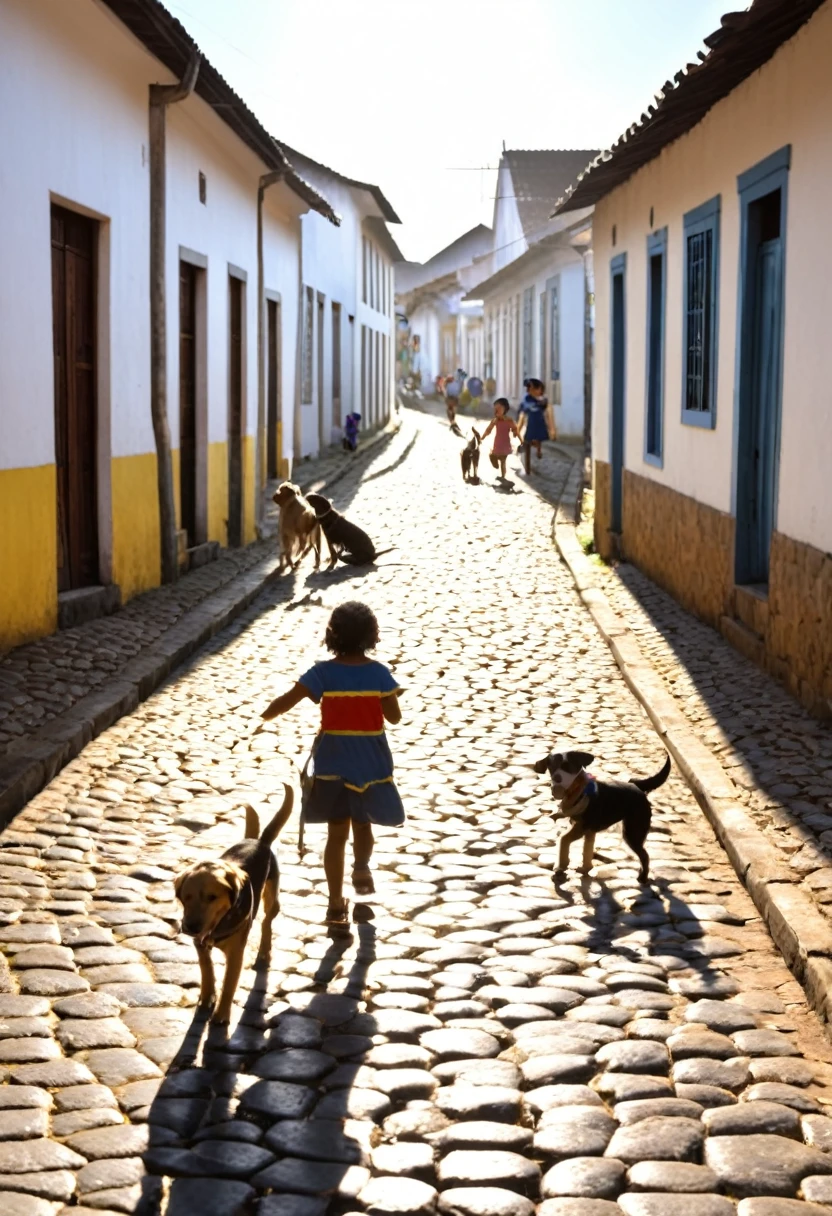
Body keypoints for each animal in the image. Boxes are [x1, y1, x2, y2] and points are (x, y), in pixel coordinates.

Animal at [173, 783, 294, 1021]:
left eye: (212, 897)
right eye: (186, 897)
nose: (190, 927)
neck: (218, 924)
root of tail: (259, 840)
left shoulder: (236, 953)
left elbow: (229, 983)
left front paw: (221, 1015)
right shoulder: (201, 947)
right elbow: (207, 973)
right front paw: (206, 999)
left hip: (272, 900)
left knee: (266, 923)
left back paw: (264, 953)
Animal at [532, 744, 671, 880]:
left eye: (567, 766)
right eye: (551, 768)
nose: (556, 778)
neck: (577, 790)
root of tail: (637, 786)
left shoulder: (582, 827)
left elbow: (564, 839)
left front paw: (561, 865)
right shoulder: (585, 829)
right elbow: (586, 850)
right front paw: (584, 867)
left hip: (633, 832)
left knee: (644, 855)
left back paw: (643, 877)